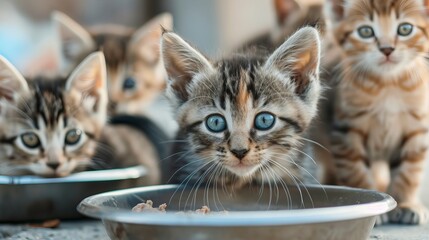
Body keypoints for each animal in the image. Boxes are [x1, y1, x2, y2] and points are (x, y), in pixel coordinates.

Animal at [324, 0, 428, 225]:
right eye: (365, 31)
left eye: (405, 29)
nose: (387, 49)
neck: (388, 84)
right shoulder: (345, 133)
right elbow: (355, 170)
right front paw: (372, 204)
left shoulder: (416, 129)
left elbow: (409, 171)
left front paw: (406, 203)